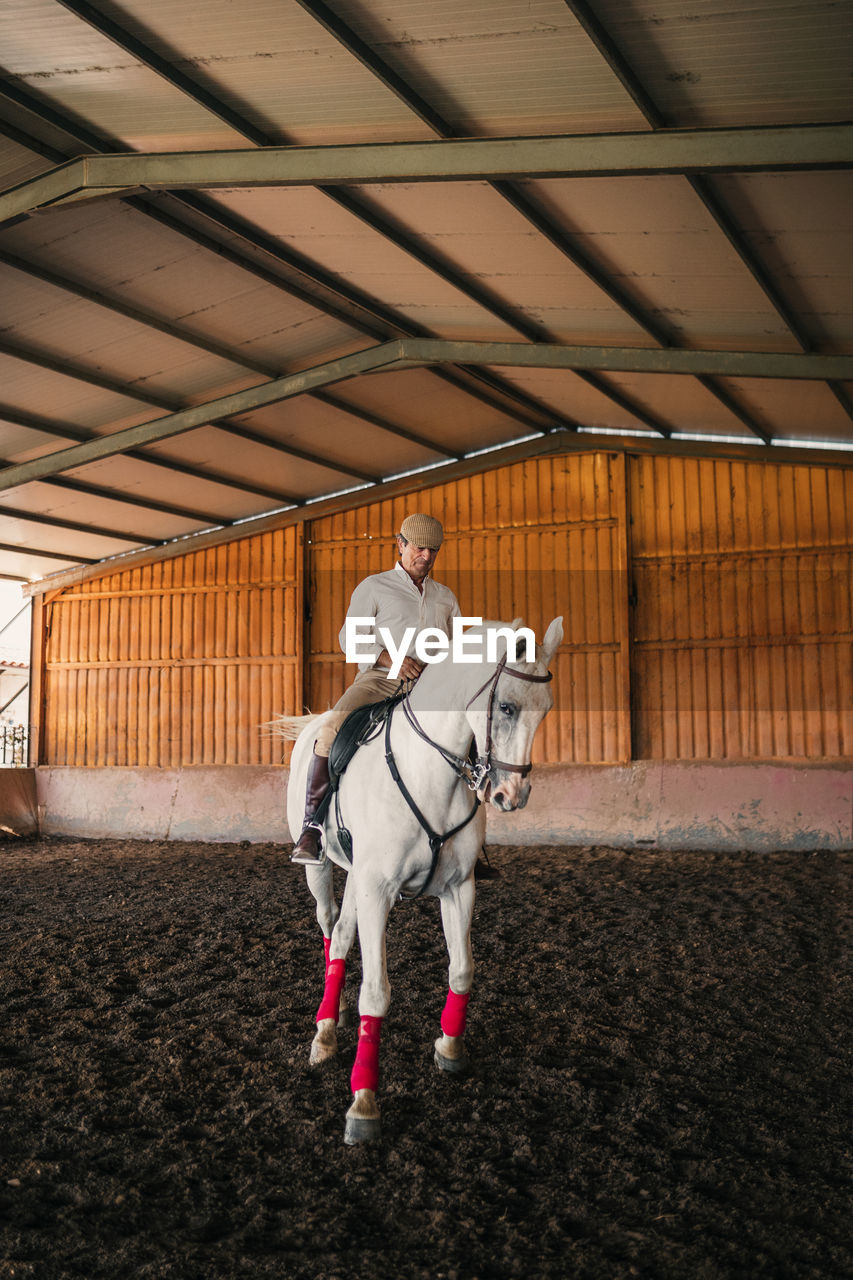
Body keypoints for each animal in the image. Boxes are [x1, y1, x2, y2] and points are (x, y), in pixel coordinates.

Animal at [275, 614, 560, 1146]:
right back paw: (325, 1028)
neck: (431, 776)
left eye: (545, 710)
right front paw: (363, 1104)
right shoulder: (378, 891)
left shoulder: (458, 888)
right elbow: (376, 993)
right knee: (328, 928)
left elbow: (462, 969)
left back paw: (331, 1022)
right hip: (321, 869)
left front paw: (450, 1049)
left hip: (357, 877)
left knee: (341, 938)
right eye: (506, 707)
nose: (512, 795)